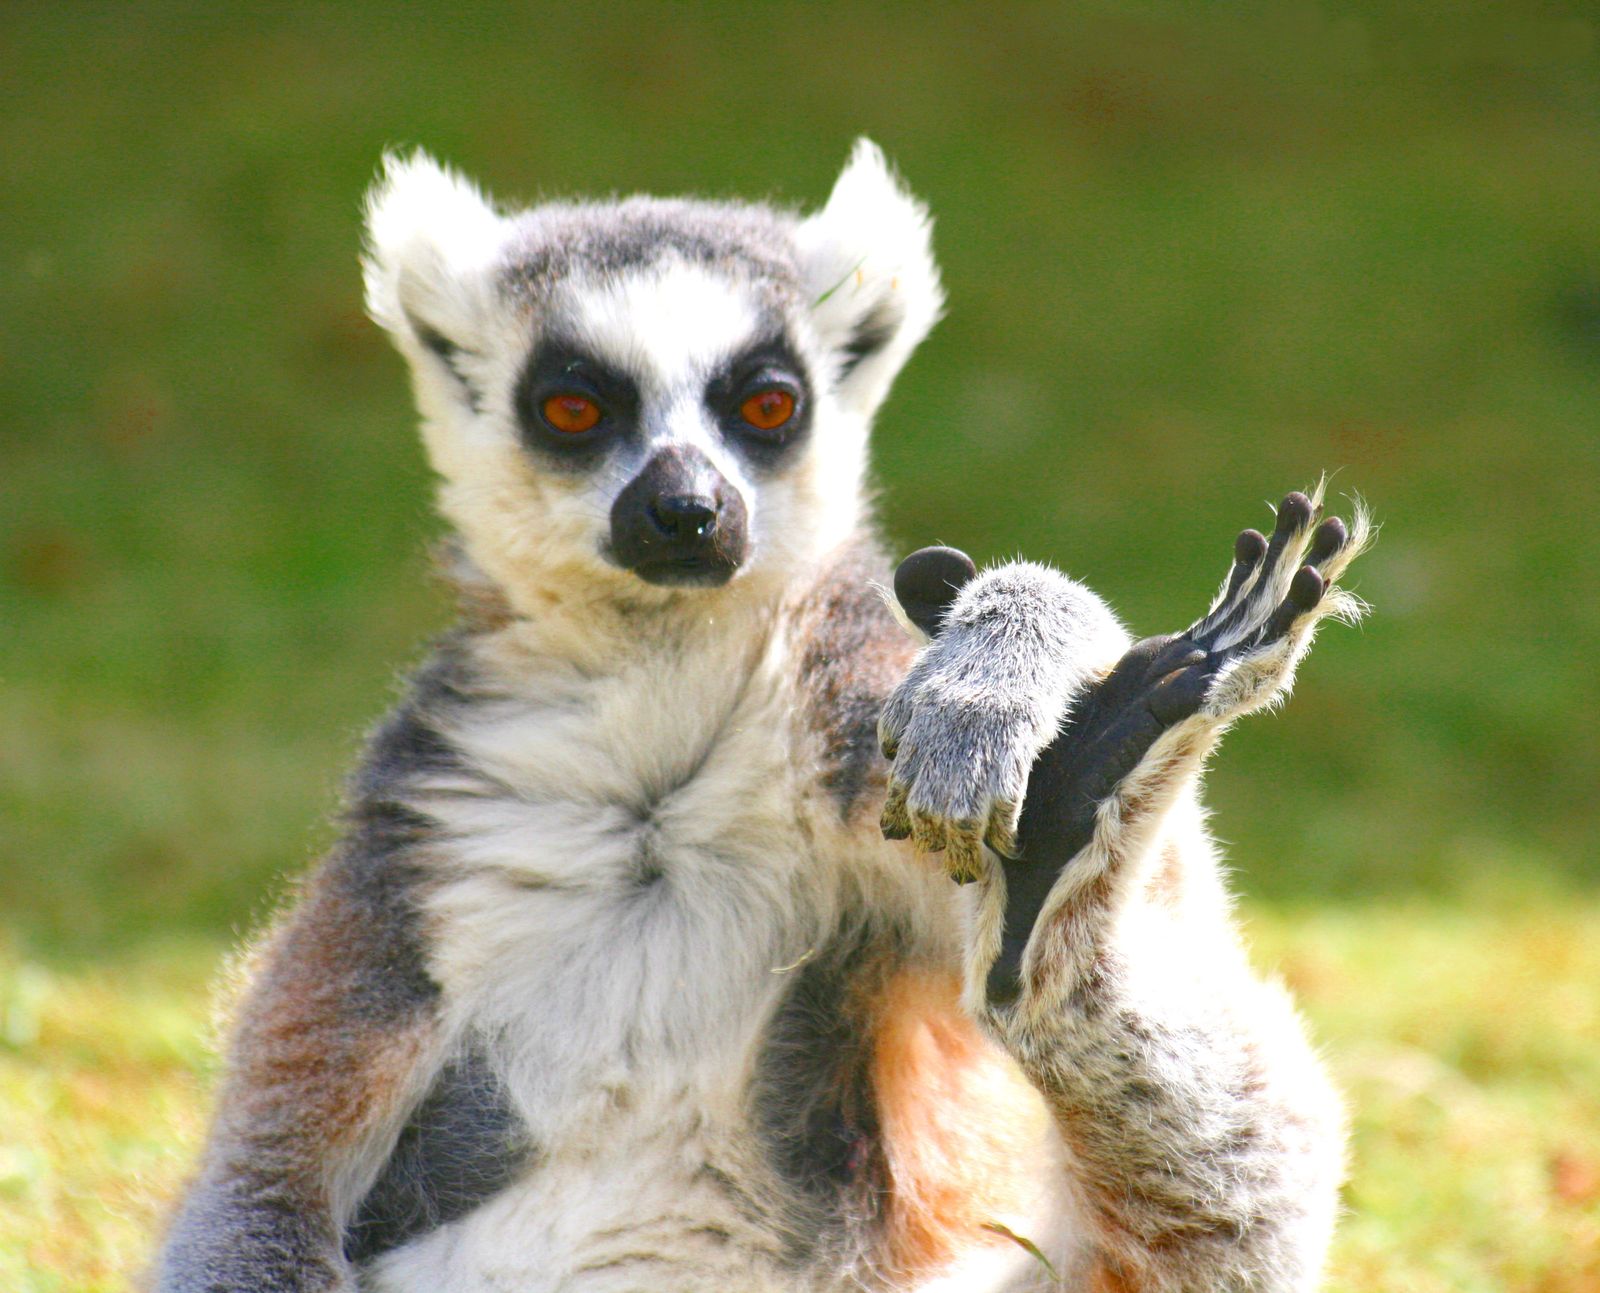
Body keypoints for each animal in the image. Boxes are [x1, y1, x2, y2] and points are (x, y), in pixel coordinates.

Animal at [155, 139, 1371, 1292]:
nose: (687, 510)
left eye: (766, 405)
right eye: (573, 407)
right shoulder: (404, 868)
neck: (658, 720)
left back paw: (1078, 819)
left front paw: (1006, 660)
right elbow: (256, 1187)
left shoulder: (861, 748)